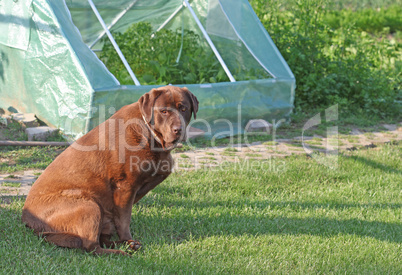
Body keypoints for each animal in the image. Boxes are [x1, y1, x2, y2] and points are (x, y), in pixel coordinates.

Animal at [21, 86, 198, 256]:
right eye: (164, 111)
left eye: (183, 108)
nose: (178, 129)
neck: (151, 137)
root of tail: (27, 219)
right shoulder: (125, 187)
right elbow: (124, 219)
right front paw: (127, 239)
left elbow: (118, 220)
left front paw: (128, 241)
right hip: (88, 205)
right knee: (91, 246)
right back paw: (122, 252)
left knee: (100, 240)